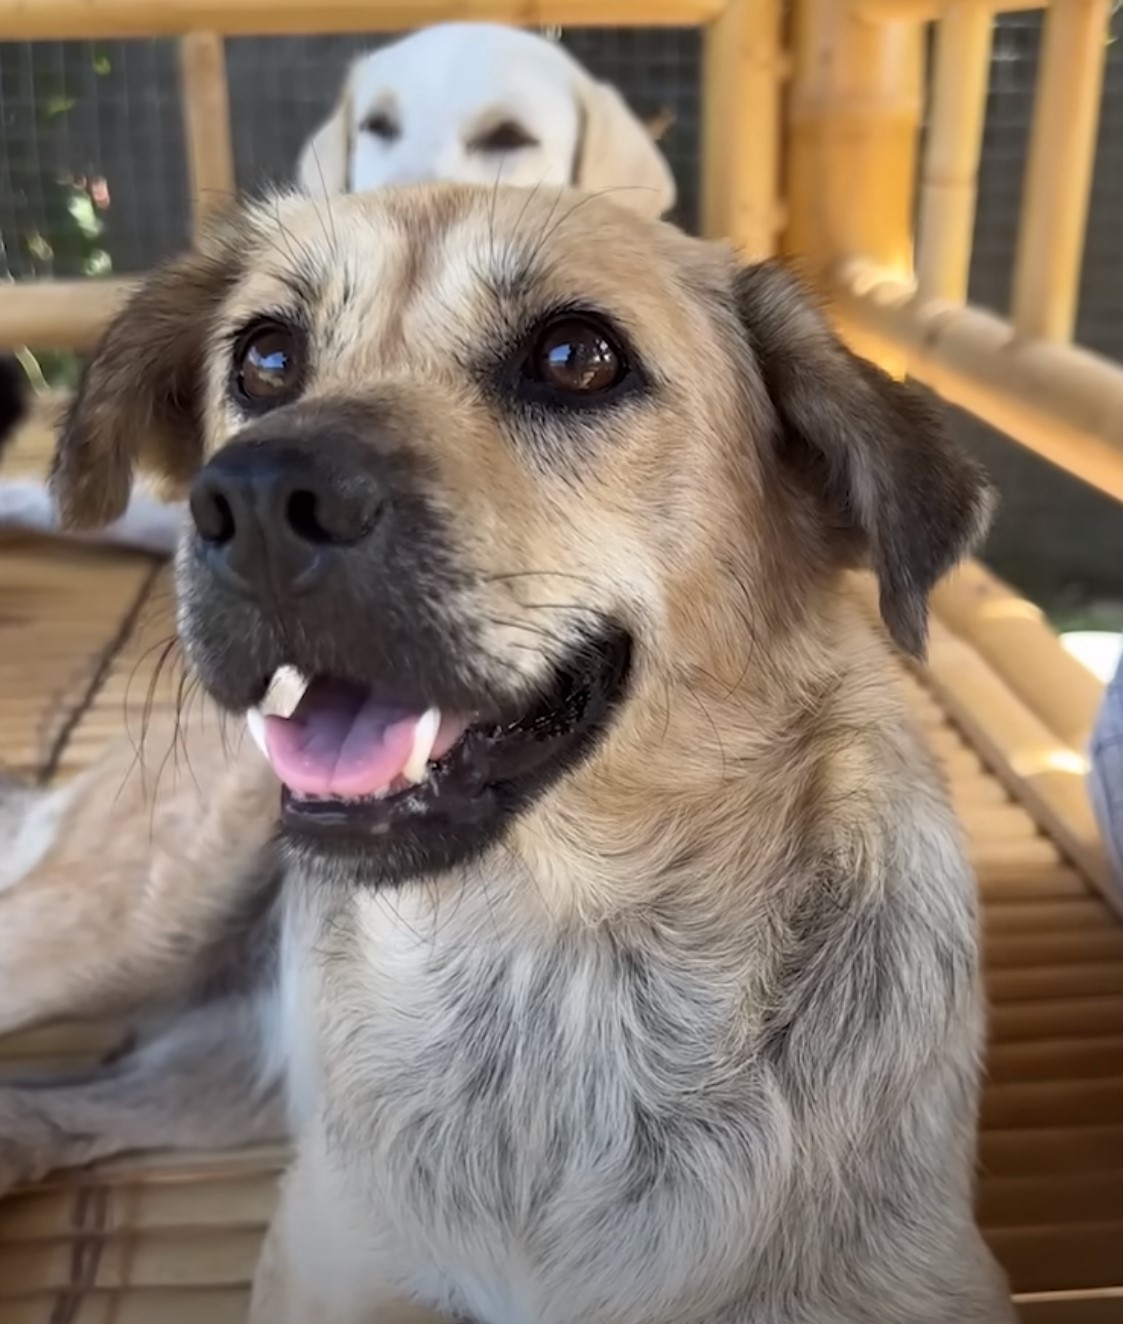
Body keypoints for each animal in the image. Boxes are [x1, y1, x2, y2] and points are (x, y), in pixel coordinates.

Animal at [0, 189, 1011, 1324]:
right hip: (122, 917)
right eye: (264, 358)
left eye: (576, 357)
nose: (252, 502)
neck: (557, 967)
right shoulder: (330, 1254)